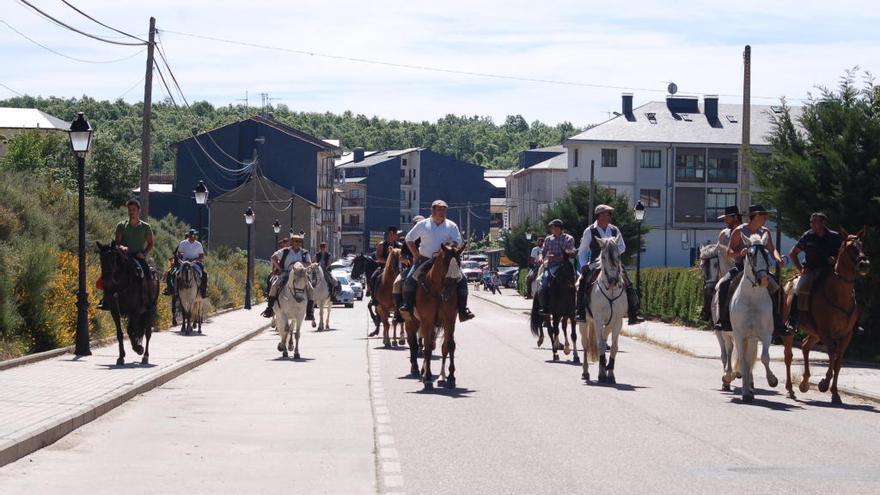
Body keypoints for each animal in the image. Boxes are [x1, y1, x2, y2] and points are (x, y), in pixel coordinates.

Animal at [414, 242, 468, 390]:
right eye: (445, 262)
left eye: (459, 262)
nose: (448, 293)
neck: (438, 292)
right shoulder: (427, 321)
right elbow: (427, 348)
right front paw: (427, 378)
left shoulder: (450, 320)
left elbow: (448, 346)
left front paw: (450, 377)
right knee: (423, 344)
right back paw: (421, 371)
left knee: (440, 346)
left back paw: (441, 377)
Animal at [580, 236, 628, 384]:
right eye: (603, 256)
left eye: (618, 256)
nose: (613, 280)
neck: (610, 291)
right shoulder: (598, 319)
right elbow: (600, 344)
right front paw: (601, 374)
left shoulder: (617, 321)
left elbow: (613, 346)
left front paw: (610, 373)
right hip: (583, 322)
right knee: (585, 344)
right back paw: (585, 372)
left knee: (603, 338)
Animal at [724, 233, 780, 404]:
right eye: (750, 254)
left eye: (767, 254)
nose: (763, 279)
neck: (753, 297)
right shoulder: (739, 334)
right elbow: (743, 361)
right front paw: (745, 393)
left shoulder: (766, 334)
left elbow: (764, 358)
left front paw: (772, 380)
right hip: (731, 336)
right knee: (733, 353)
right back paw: (732, 380)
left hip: (753, 338)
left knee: (751, 359)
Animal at [784, 231, 872, 404]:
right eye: (850, 247)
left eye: (862, 245)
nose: (864, 264)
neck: (839, 294)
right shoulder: (826, 332)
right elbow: (832, 353)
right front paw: (824, 384)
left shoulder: (846, 335)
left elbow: (838, 362)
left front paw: (835, 393)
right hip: (791, 330)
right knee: (789, 356)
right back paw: (790, 389)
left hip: (814, 333)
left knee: (805, 346)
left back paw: (804, 383)